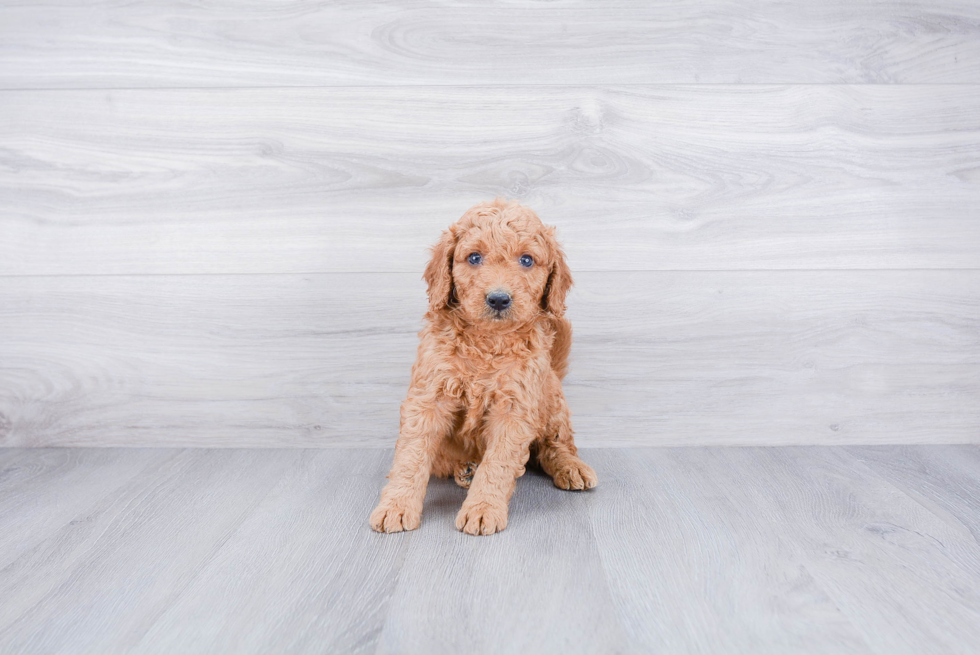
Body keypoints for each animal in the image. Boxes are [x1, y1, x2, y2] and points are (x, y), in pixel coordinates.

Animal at [370, 200, 592, 540]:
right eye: (474, 257)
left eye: (527, 260)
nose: (499, 299)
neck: (487, 341)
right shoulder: (428, 397)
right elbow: (411, 456)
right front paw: (395, 506)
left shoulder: (515, 407)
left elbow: (498, 463)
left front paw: (483, 509)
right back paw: (465, 470)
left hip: (552, 398)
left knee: (555, 444)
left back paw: (571, 467)